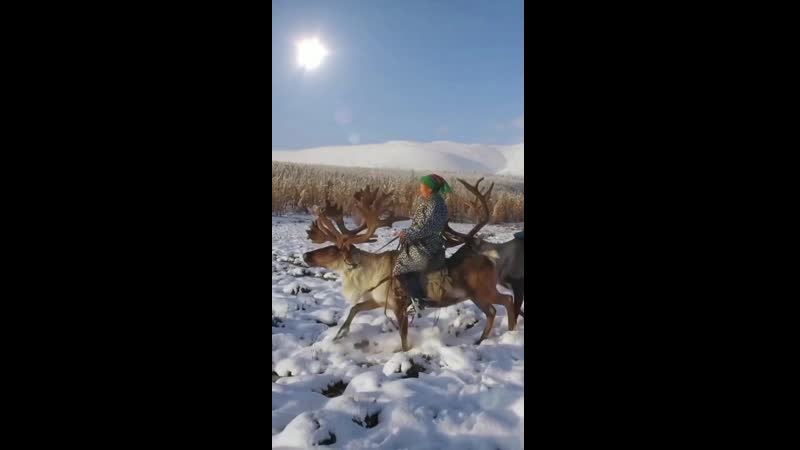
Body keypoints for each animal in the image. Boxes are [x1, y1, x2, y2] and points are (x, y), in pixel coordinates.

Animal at [302, 181, 516, 352]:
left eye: (334, 250)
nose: (305, 255)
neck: (369, 274)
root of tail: (490, 260)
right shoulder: (378, 300)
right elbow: (355, 308)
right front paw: (339, 335)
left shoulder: (399, 306)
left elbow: (403, 337)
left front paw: (404, 353)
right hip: (474, 295)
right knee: (493, 310)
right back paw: (485, 338)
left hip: (482, 291)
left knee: (505, 301)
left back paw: (509, 331)